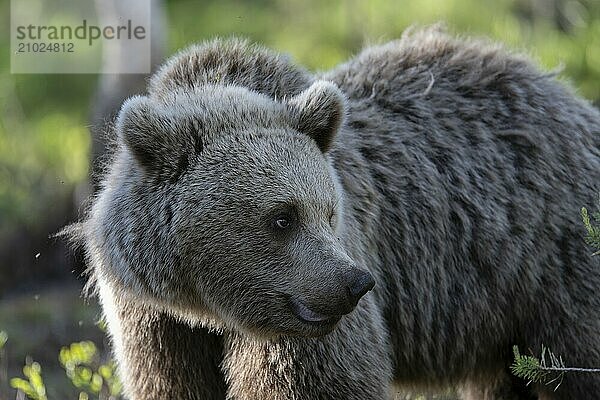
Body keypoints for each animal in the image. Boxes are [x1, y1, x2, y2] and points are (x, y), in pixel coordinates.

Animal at [74, 26, 600, 398]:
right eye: (282, 216)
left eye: (329, 212)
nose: (355, 283)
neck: (208, 306)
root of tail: (571, 99)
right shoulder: (154, 320)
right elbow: (172, 382)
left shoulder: (304, 325)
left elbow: (324, 381)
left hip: (551, 262)